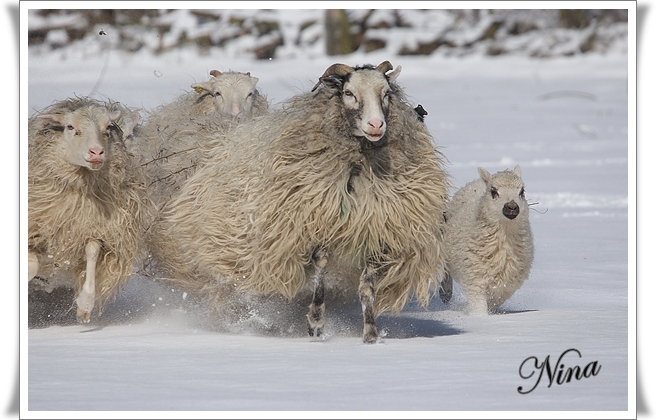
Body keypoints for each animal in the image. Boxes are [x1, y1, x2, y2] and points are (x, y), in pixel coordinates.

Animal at [27, 97, 156, 324]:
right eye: (70, 127)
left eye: (108, 128)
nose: (96, 152)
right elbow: (31, 265)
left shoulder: (96, 228)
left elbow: (92, 252)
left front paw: (85, 305)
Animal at [150, 60, 452, 342]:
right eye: (348, 93)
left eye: (387, 93)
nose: (376, 125)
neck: (359, 167)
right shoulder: (313, 227)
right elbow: (319, 272)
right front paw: (316, 323)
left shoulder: (378, 236)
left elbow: (367, 289)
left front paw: (370, 334)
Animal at [438, 164, 536, 316]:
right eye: (493, 191)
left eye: (522, 191)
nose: (512, 207)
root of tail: (477, 181)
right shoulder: (473, 276)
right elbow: (478, 303)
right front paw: (480, 317)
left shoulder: (506, 284)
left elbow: (493, 301)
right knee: (446, 270)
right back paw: (445, 293)